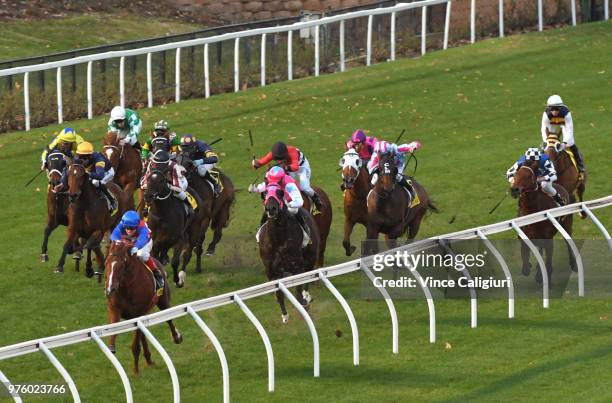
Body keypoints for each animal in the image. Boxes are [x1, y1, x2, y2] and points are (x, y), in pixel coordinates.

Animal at [105, 240, 183, 376]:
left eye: (121, 265)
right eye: (107, 263)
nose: (110, 289)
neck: (126, 287)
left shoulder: (138, 313)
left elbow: (136, 345)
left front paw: (136, 371)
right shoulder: (115, 309)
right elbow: (114, 327)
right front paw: (111, 347)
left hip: (163, 300)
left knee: (169, 319)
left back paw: (176, 337)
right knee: (143, 334)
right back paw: (148, 359)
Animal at [256, 185, 320, 324]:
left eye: (280, 193)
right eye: (264, 193)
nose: (271, 208)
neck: (278, 240)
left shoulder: (297, 267)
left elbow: (299, 291)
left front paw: (305, 301)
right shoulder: (272, 272)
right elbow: (279, 293)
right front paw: (285, 315)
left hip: (310, 257)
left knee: (309, 275)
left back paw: (307, 296)